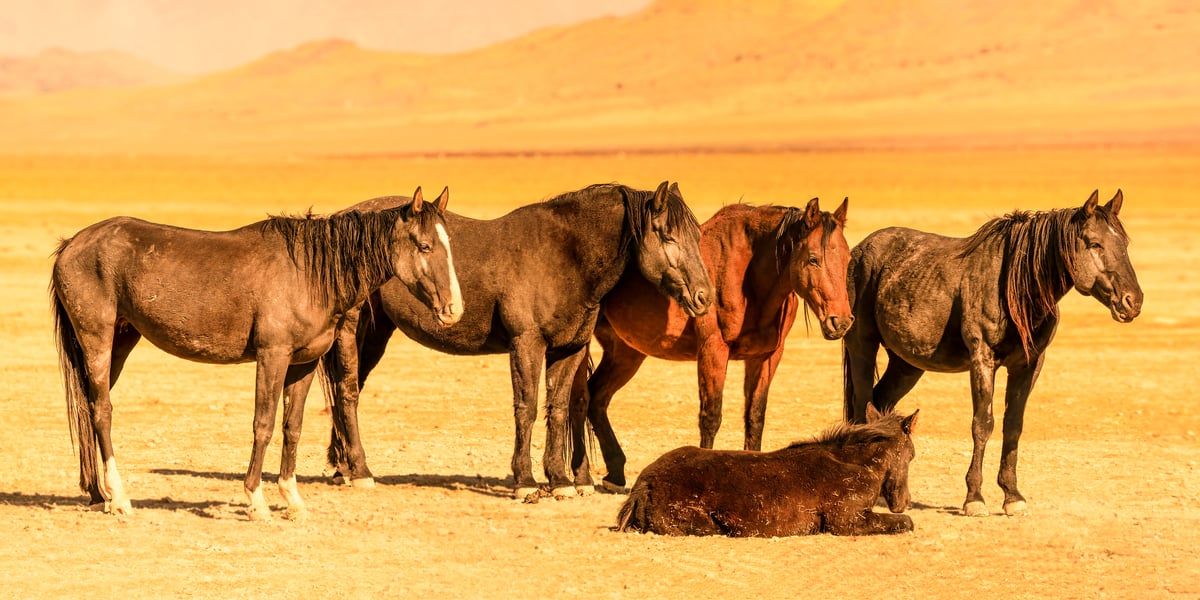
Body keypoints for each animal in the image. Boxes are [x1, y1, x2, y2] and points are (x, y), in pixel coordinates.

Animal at [50, 187, 462, 521]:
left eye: (449, 246)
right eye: (424, 246)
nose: (453, 309)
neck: (308, 274)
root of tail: (72, 244)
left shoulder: (304, 363)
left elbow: (292, 427)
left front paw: (293, 500)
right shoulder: (272, 357)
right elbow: (262, 425)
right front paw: (256, 500)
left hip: (120, 341)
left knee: (87, 409)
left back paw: (96, 494)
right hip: (98, 340)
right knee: (102, 412)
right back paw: (119, 498)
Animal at [319, 182, 714, 499]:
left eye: (696, 237)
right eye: (667, 235)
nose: (704, 296)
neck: (564, 255)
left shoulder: (569, 349)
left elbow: (559, 409)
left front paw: (560, 480)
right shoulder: (527, 344)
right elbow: (527, 408)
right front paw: (525, 480)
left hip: (375, 334)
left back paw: (342, 466)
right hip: (352, 331)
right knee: (347, 392)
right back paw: (360, 471)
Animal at [570, 198, 851, 492]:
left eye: (847, 258)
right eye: (813, 259)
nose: (841, 321)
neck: (748, 277)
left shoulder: (766, 357)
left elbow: (755, 417)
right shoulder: (713, 349)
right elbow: (711, 417)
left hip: (626, 353)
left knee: (597, 398)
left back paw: (614, 473)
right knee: (578, 399)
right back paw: (580, 477)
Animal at [616, 404, 919, 537]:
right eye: (912, 455)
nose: (903, 501)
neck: (853, 462)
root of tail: (645, 484)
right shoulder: (847, 522)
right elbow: (906, 523)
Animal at [842, 190, 1142, 517]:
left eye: (1124, 243)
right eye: (1094, 243)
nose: (1133, 301)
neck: (1012, 288)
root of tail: (860, 249)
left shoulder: (1029, 365)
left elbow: (1013, 425)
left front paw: (1012, 496)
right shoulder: (982, 360)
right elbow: (983, 424)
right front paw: (974, 498)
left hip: (906, 364)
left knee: (881, 402)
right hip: (862, 346)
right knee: (862, 407)